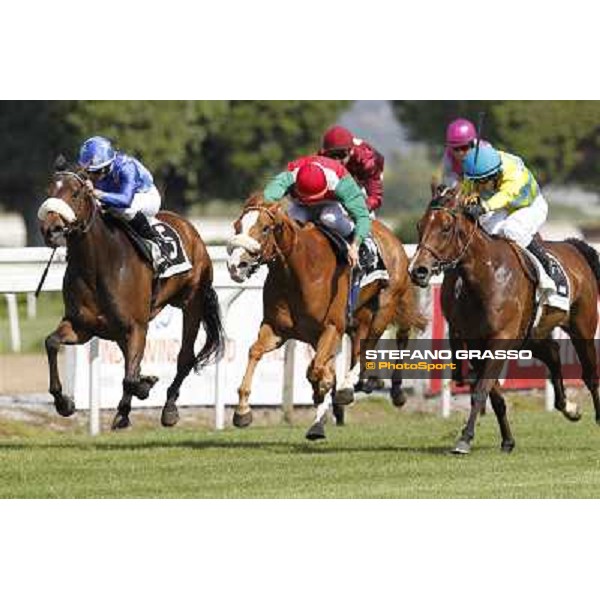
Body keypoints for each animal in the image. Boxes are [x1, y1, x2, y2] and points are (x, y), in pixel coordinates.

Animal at [38, 169, 225, 428]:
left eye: (75, 193)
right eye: (49, 191)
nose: (51, 229)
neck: (97, 265)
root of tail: (190, 229)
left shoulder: (136, 326)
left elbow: (130, 377)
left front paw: (133, 400)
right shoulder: (82, 326)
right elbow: (52, 343)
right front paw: (64, 403)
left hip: (192, 304)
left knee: (185, 358)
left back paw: (168, 409)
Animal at [227, 193, 424, 440]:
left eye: (265, 228)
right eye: (237, 226)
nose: (236, 266)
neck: (298, 272)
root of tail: (391, 236)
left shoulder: (332, 326)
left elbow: (316, 370)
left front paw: (328, 387)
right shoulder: (277, 328)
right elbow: (255, 352)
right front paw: (242, 412)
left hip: (385, 305)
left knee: (372, 343)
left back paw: (356, 387)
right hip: (358, 319)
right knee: (356, 349)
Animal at [408, 188, 600, 454]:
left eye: (446, 227)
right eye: (420, 225)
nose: (418, 270)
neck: (485, 277)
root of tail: (574, 247)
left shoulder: (501, 339)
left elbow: (481, 390)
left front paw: (464, 439)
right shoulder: (475, 343)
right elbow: (494, 395)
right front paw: (507, 441)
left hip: (582, 328)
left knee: (590, 373)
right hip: (530, 335)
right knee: (552, 353)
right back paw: (568, 407)